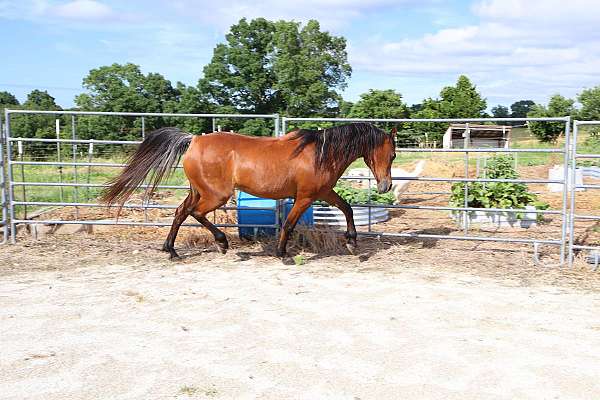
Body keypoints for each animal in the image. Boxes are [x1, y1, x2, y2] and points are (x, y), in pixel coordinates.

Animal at [101, 122, 396, 260]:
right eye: (392, 154)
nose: (386, 186)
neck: (320, 154)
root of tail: (194, 140)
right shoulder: (305, 197)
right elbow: (288, 224)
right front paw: (282, 254)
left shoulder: (323, 193)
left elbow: (347, 208)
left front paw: (352, 241)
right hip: (215, 195)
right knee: (196, 213)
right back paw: (222, 243)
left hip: (198, 190)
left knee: (180, 212)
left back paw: (171, 251)